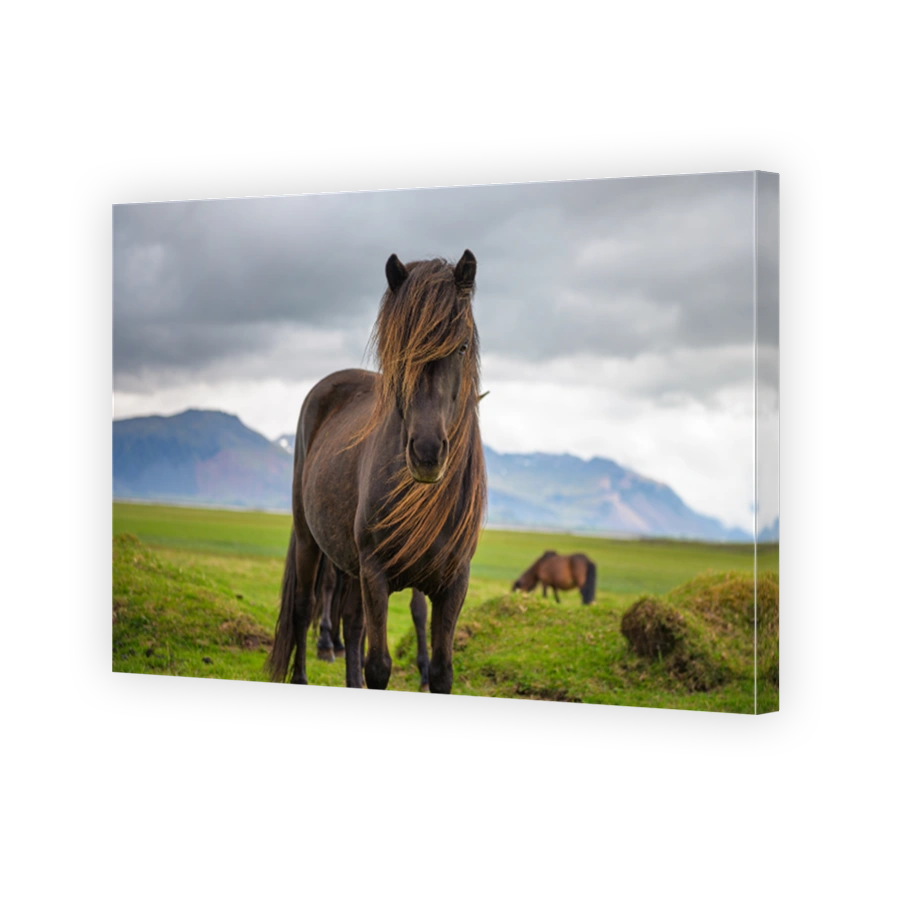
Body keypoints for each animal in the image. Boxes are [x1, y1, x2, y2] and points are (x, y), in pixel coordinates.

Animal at [265, 250, 487, 693]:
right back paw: (304, 670)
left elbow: (441, 669)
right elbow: (379, 666)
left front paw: (426, 670)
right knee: (304, 606)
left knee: (352, 623)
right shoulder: (376, 574)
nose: (426, 452)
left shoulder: (454, 581)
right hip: (310, 538)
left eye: (461, 346)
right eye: (400, 349)